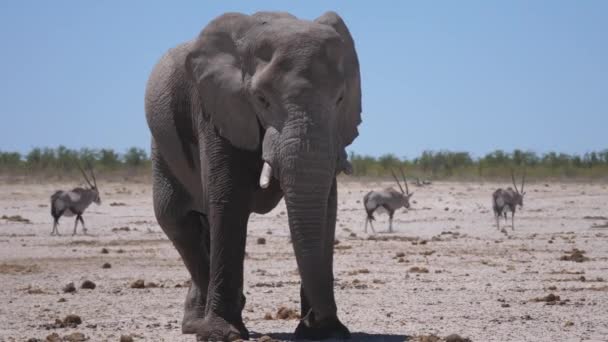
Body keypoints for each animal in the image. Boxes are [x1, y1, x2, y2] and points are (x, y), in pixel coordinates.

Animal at [144, 10, 358, 342]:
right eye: (261, 99)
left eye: (340, 99)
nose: (316, 318)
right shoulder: (217, 110)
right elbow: (228, 201)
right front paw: (222, 334)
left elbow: (326, 206)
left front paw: (327, 334)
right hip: (162, 145)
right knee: (175, 218)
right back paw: (201, 324)